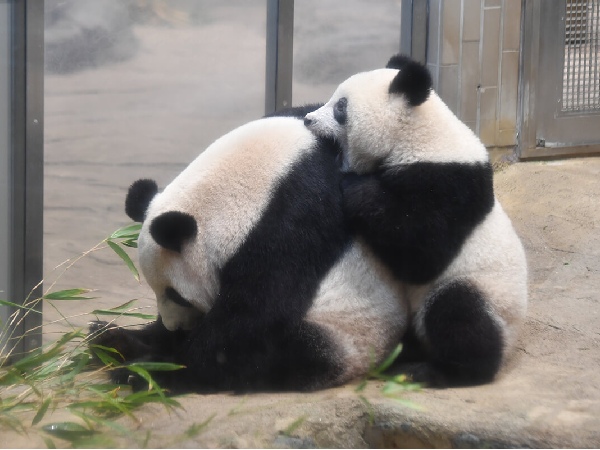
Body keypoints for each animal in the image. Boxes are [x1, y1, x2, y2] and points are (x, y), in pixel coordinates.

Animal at [90, 107, 408, 392]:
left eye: (176, 295)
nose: (175, 328)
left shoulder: (289, 223)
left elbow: (251, 317)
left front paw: (160, 368)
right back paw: (109, 339)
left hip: (351, 332)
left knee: (285, 353)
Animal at [308, 55, 528, 386]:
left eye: (341, 107)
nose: (308, 119)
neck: (418, 135)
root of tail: (513, 339)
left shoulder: (448, 185)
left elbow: (423, 253)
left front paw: (353, 184)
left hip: (488, 292)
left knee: (459, 312)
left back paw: (442, 371)